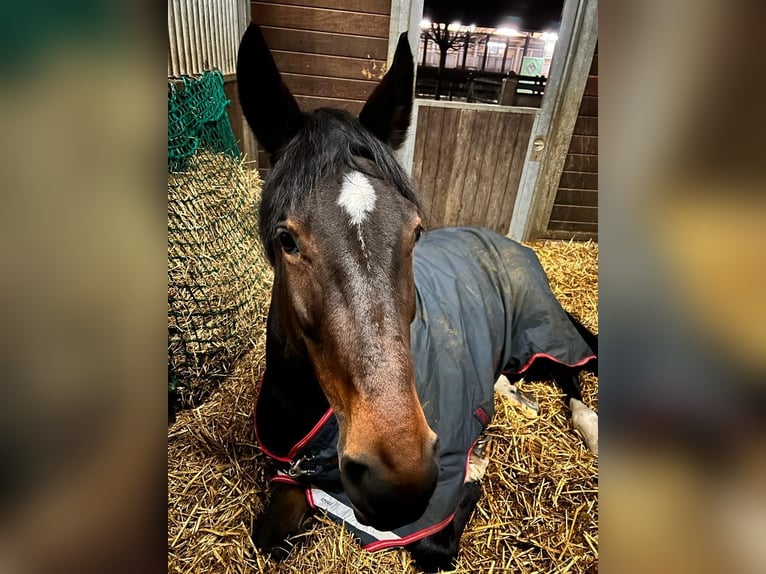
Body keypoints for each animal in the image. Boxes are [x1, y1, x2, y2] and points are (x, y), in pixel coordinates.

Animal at [234, 24, 600, 572]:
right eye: (287, 239)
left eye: (415, 231)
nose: (399, 476)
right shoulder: (292, 474)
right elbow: (270, 535)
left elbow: (435, 541)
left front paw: (477, 465)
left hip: (538, 333)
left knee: (573, 368)